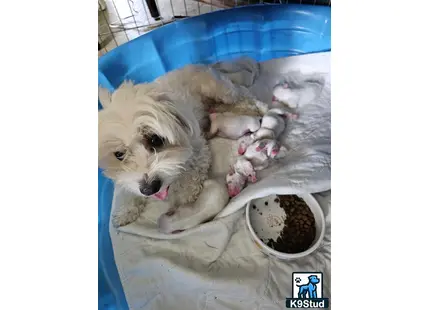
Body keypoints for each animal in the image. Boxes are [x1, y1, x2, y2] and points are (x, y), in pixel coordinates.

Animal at [100, 63, 268, 228]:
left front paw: (185, 200)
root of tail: (201, 64)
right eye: (119, 154)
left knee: (243, 96)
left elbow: (190, 177)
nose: (149, 189)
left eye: (155, 140)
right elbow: (124, 185)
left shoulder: (199, 150)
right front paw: (125, 210)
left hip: (222, 91)